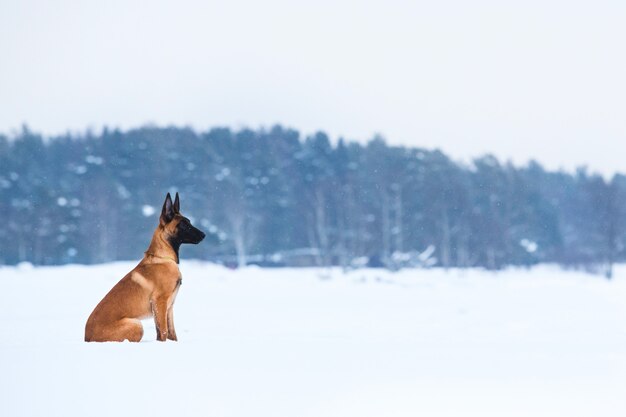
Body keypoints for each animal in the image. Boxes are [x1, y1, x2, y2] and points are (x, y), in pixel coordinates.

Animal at [84, 192, 205, 342]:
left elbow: (171, 333)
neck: (163, 257)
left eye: (189, 222)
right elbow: (164, 331)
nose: (204, 235)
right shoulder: (160, 302)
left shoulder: (169, 306)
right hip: (136, 324)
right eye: (183, 225)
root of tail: (87, 337)